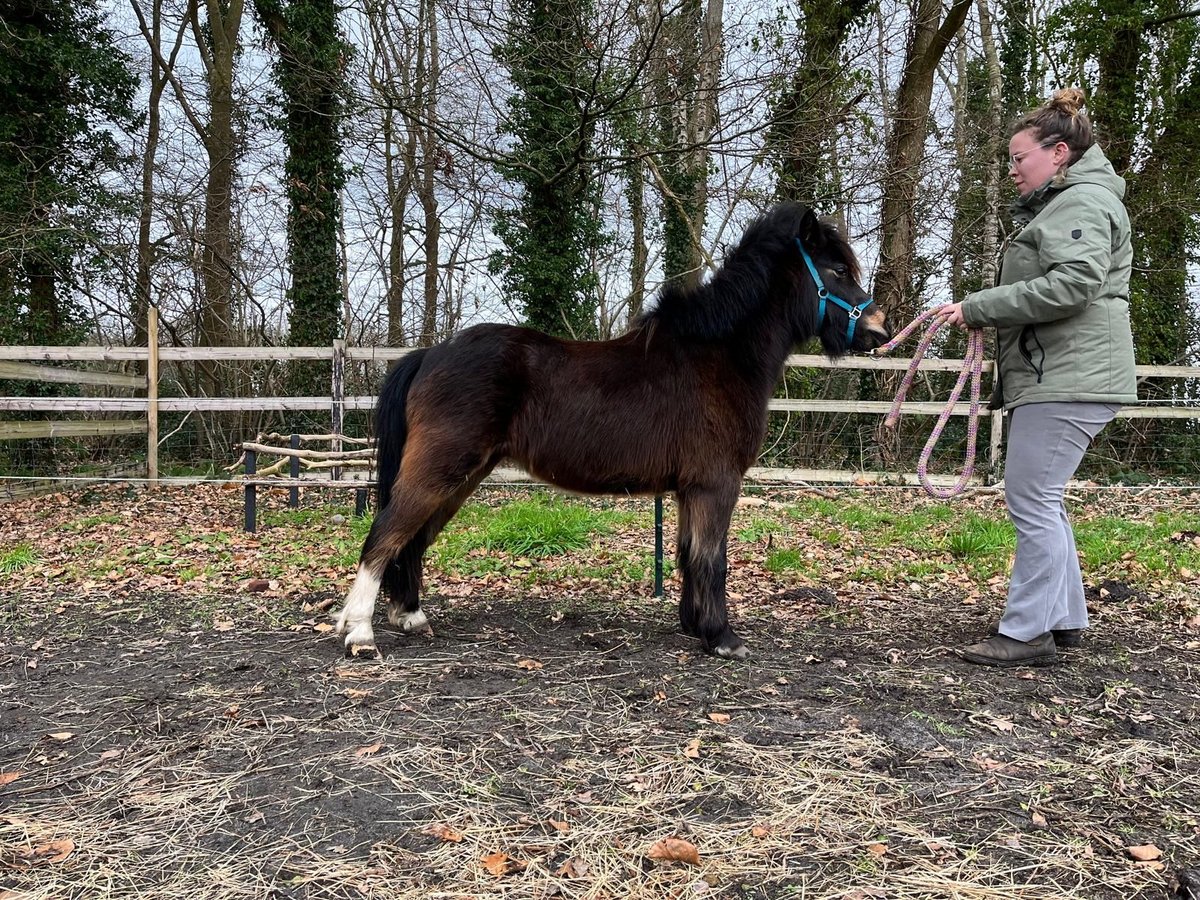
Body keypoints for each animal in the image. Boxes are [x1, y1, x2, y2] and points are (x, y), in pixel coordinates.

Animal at [334, 202, 889, 660]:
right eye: (839, 271)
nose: (879, 330)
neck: (719, 354)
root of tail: (431, 353)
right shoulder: (716, 483)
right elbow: (713, 559)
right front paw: (722, 638)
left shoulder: (688, 489)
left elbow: (688, 555)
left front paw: (694, 626)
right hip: (442, 468)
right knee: (386, 533)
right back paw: (360, 633)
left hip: (461, 477)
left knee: (412, 539)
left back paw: (409, 616)